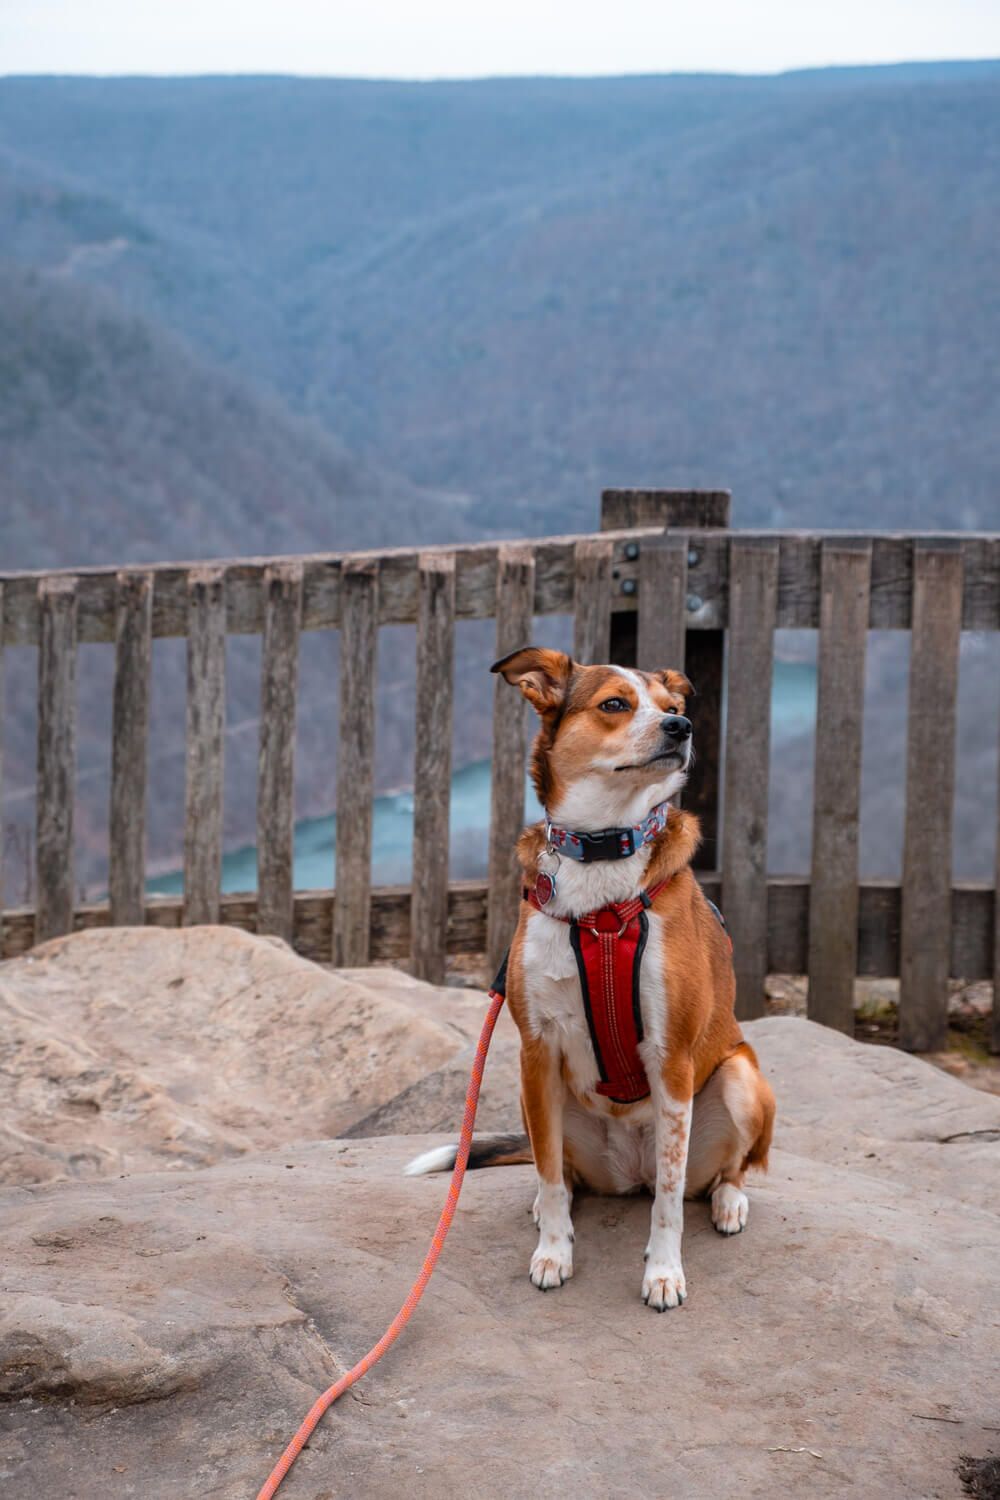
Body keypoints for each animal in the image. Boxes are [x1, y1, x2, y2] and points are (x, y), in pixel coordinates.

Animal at [407, 651, 773, 1308]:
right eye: (614, 704)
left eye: (672, 707)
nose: (682, 728)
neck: (604, 854)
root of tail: (629, 1173)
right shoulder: (536, 1051)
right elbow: (551, 1175)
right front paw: (553, 1252)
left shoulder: (672, 1057)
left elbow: (670, 1201)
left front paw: (663, 1272)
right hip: (538, 1101)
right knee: (562, 1171)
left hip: (739, 1077)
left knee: (717, 1173)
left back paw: (729, 1201)